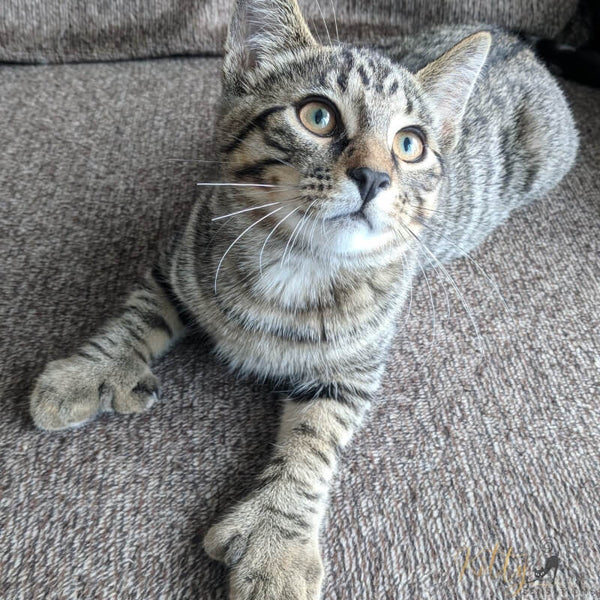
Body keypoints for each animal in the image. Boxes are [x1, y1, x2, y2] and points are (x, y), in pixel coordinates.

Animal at [30, 1, 580, 600]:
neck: (298, 262)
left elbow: (315, 440)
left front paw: (278, 540)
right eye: (318, 116)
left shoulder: (355, 366)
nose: (374, 177)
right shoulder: (179, 260)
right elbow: (137, 315)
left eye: (410, 144)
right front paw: (89, 371)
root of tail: (511, 37)